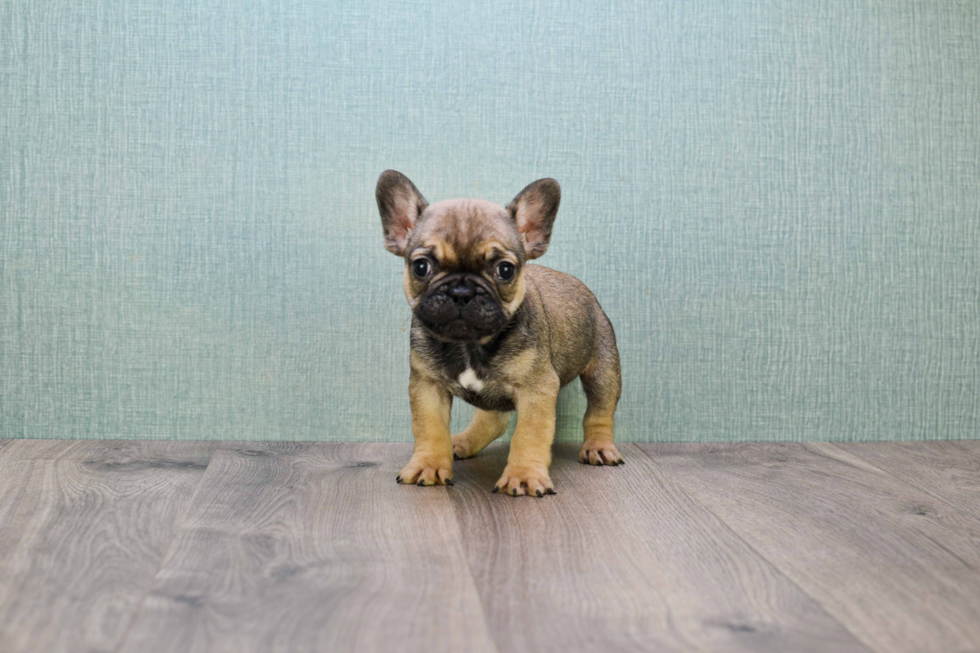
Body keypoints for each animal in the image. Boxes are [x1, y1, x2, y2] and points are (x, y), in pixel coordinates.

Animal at [376, 171, 620, 496]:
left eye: (505, 270)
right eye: (421, 266)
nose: (461, 291)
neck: (470, 345)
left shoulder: (537, 390)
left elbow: (529, 434)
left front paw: (524, 475)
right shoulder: (428, 386)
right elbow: (430, 429)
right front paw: (428, 464)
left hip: (603, 368)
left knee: (599, 412)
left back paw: (599, 447)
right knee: (493, 421)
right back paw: (461, 442)